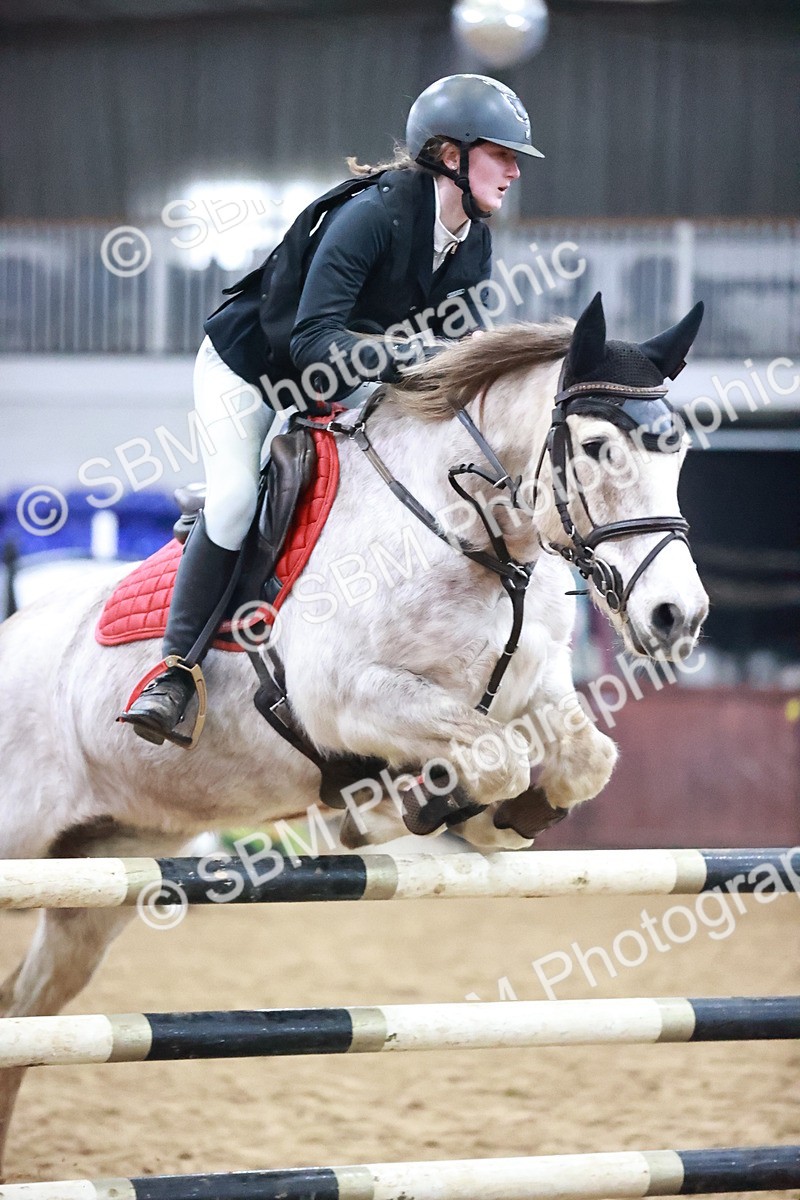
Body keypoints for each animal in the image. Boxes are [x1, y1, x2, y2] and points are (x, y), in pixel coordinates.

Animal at [0, 292, 708, 1170]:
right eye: (598, 447)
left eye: (678, 456)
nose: (678, 617)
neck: (468, 537)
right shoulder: (346, 696)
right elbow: (496, 755)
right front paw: (430, 806)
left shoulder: (532, 683)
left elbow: (581, 759)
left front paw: (493, 821)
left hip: (102, 872)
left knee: (26, 1012)